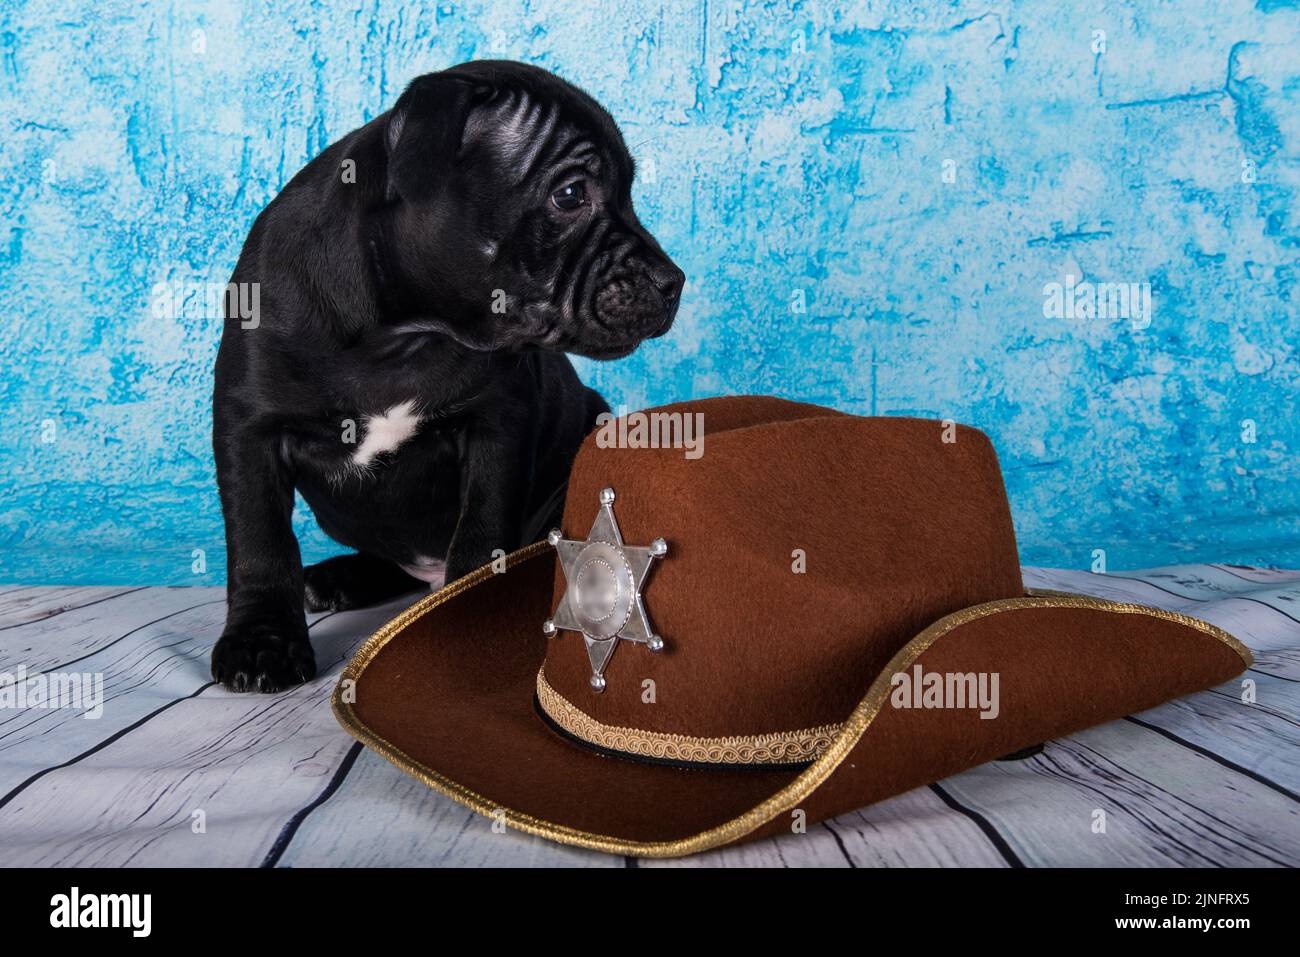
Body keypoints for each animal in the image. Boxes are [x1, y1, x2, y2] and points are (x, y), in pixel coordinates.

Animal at [208, 59, 686, 691]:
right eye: (570, 195)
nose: (673, 280)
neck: (404, 335)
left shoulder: (496, 428)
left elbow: (481, 536)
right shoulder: (249, 429)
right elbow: (259, 540)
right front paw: (261, 642)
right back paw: (339, 578)